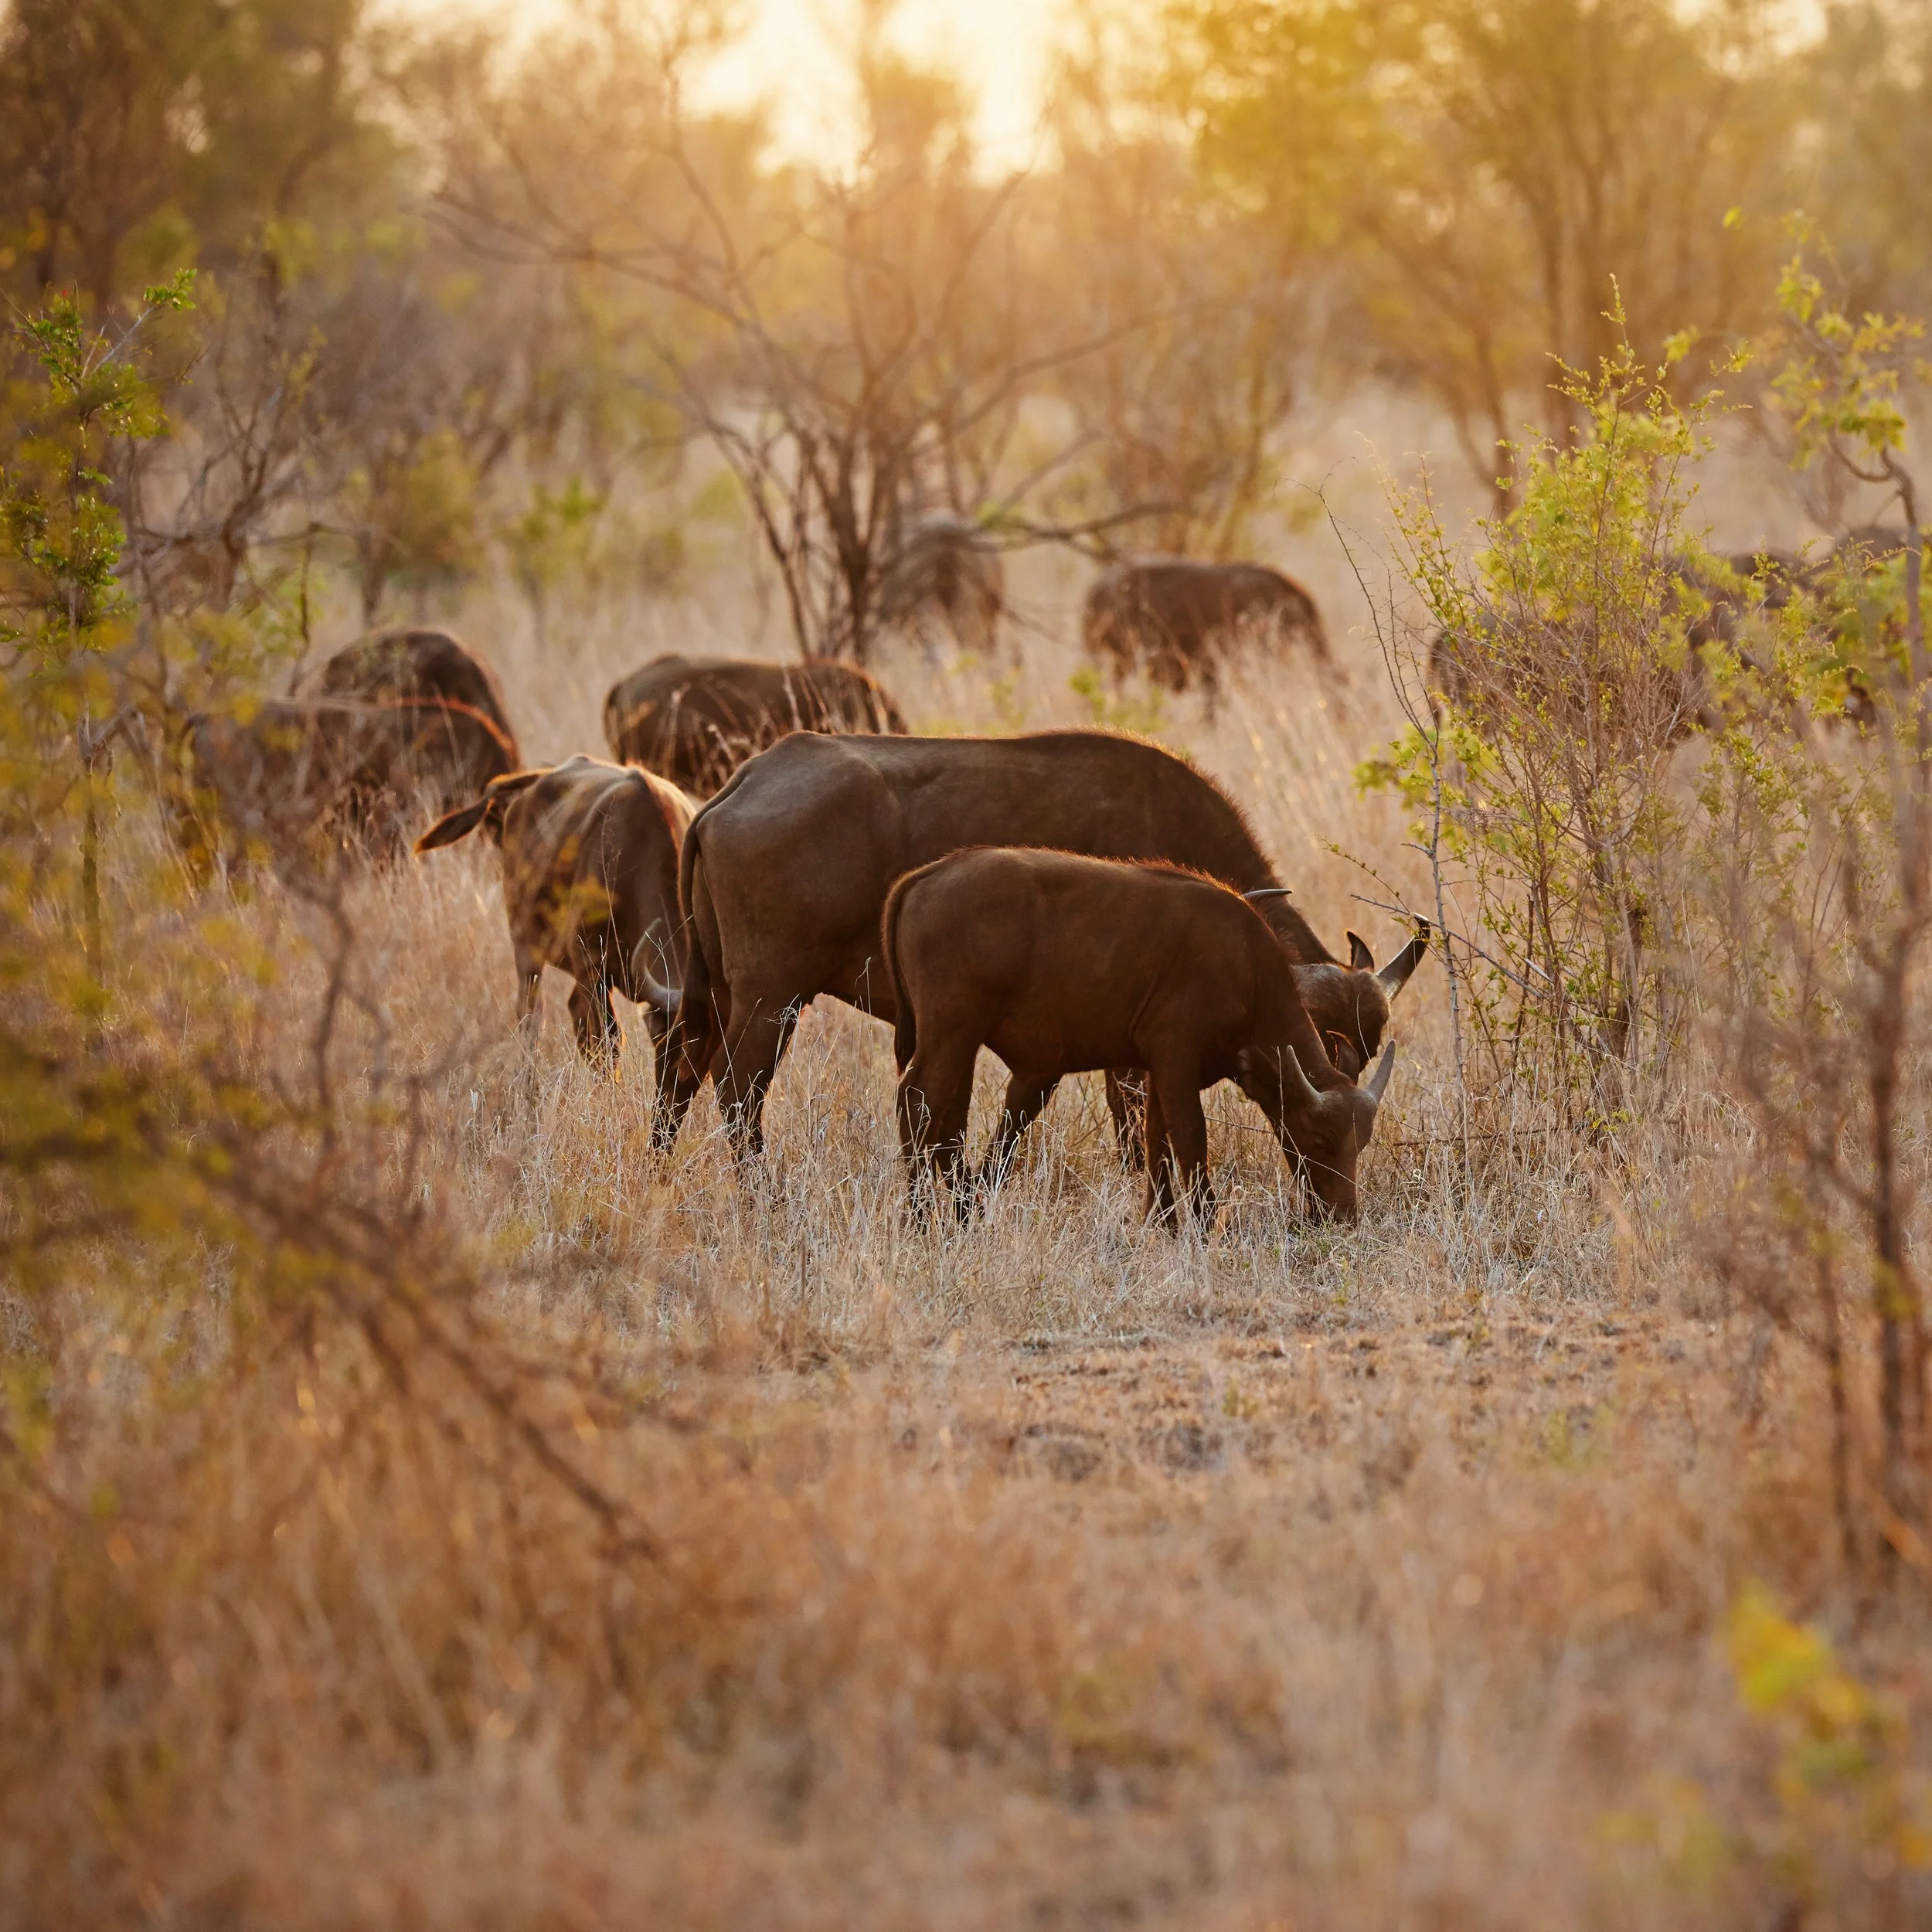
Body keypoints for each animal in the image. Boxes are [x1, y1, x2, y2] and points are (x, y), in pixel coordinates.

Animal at [649, 729, 1427, 1159]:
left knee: (679, 1078)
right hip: (772, 997)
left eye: (1363, 1052)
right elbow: (1134, 1121)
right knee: (737, 1093)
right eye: (1324, 1039)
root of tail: (743, 784)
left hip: (715, 993)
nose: (1330, 1108)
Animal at [885, 849, 1393, 1226]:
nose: (1343, 1217)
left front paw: (1162, 1222)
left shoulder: (1157, 1070)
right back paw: (919, 1217)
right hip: (951, 1030)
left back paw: (962, 1214)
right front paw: (1204, 1224)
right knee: (918, 1100)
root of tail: (927, 874)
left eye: (1360, 1142)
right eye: (1321, 1139)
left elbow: (1156, 1141)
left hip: (961, 1040)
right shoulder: (1176, 1058)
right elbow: (1191, 1138)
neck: (1246, 970)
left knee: (948, 1119)